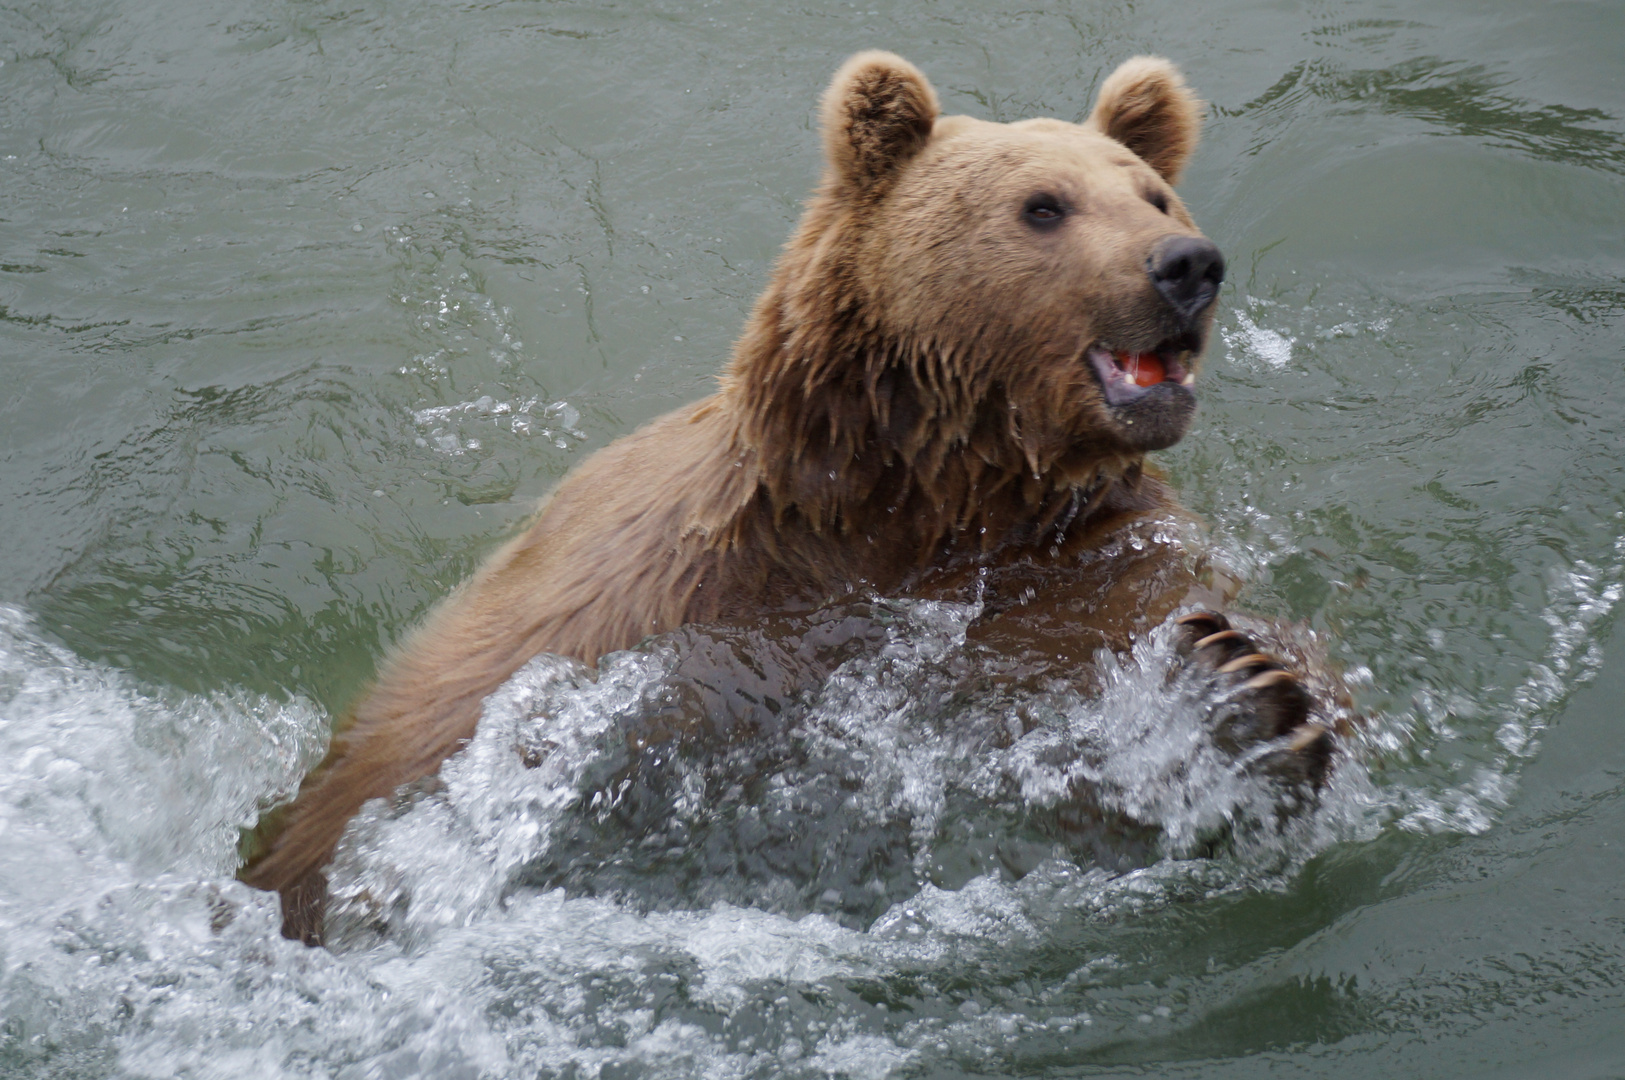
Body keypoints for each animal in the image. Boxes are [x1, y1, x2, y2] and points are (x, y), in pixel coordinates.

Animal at [243, 52, 1345, 941]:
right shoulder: (656, 608)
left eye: (1153, 195)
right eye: (1043, 205)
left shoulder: (1081, 568)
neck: (923, 508)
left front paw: (1241, 694)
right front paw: (1227, 702)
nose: (1186, 265)